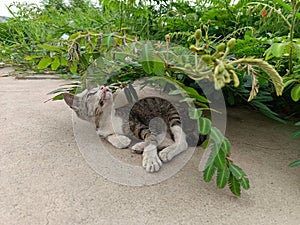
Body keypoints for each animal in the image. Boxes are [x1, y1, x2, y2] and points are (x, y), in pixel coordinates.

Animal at [62, 85, 204, 173]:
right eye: (91, 93)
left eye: (100, 86)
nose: (104, 87)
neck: (107, 117)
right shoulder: (101, 130)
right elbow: (107, 136)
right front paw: (121, 140)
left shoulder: (138, 124)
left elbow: (151, 138)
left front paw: (150, 159)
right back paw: (140, 146)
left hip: (172, 114)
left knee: (181, 141)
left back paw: (166, 151)